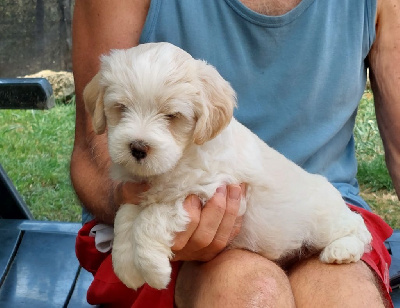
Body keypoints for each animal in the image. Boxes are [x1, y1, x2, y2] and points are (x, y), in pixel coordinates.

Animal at [83, 42, 372, 290]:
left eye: (172, 116)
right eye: (121, 107)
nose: (137, 148)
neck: (179, 160)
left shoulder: (205, 192)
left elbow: (149, 219)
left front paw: (153, 270)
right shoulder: (138, 192)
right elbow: (125, 218)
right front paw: (126, 268)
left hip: (325, 221)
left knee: (357, 227)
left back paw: (341, 251)